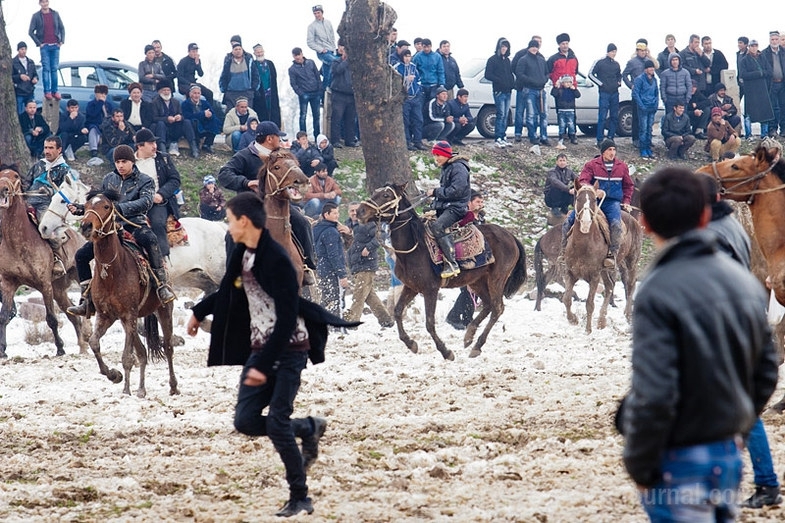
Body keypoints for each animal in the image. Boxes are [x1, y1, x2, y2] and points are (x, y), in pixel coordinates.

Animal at [0, 166, 90, 358]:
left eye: (15, 176)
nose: (3, 189)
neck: (17, 242)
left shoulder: (44, 284)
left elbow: (51, 319)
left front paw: (60, 348)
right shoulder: (8, 284)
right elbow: (4, 316)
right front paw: (2, 350)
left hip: (76, 278)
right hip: (59, 290)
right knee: (71, 313)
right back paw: (83, 346)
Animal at [79, 190, 178, 400]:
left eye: (106, 206)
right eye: (86, 206)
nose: (86, 226)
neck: (112, 271)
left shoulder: (128, 314)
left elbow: (126, 357)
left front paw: (124, 388)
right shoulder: (107, 316)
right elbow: (94, 343)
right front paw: (113, 376)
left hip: (163, 311)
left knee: (168, 348)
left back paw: (173, 387)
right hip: (129, 322)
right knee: (142, 353)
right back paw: (141, 389)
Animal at [356, 184, 528, 360]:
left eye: (386, 195)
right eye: (375, 193)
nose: (360, 211)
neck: (415, 246)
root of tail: (510, 236)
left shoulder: (430, 289)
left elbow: (429, 323)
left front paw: (445, 351)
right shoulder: (411, 287)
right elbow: (397, 311)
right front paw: (410, 343)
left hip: (497, 279)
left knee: (497, 308)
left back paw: (477, 345)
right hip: (477, 281)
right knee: (488, 305)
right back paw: (469, 337)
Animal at [564, 182, 644, 334]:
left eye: (594, 200)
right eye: (578, 198)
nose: (585, 223)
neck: (583, 245)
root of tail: (634, 221)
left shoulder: (594, 275)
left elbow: (589, 303)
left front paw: (588, 330)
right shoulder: (571, 273)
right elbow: (567, 299)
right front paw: (573, 320)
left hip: (631, 261)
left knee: (630, 285)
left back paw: (628, 315)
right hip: (606, 270)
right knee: (609, 287)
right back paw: (602, 321)